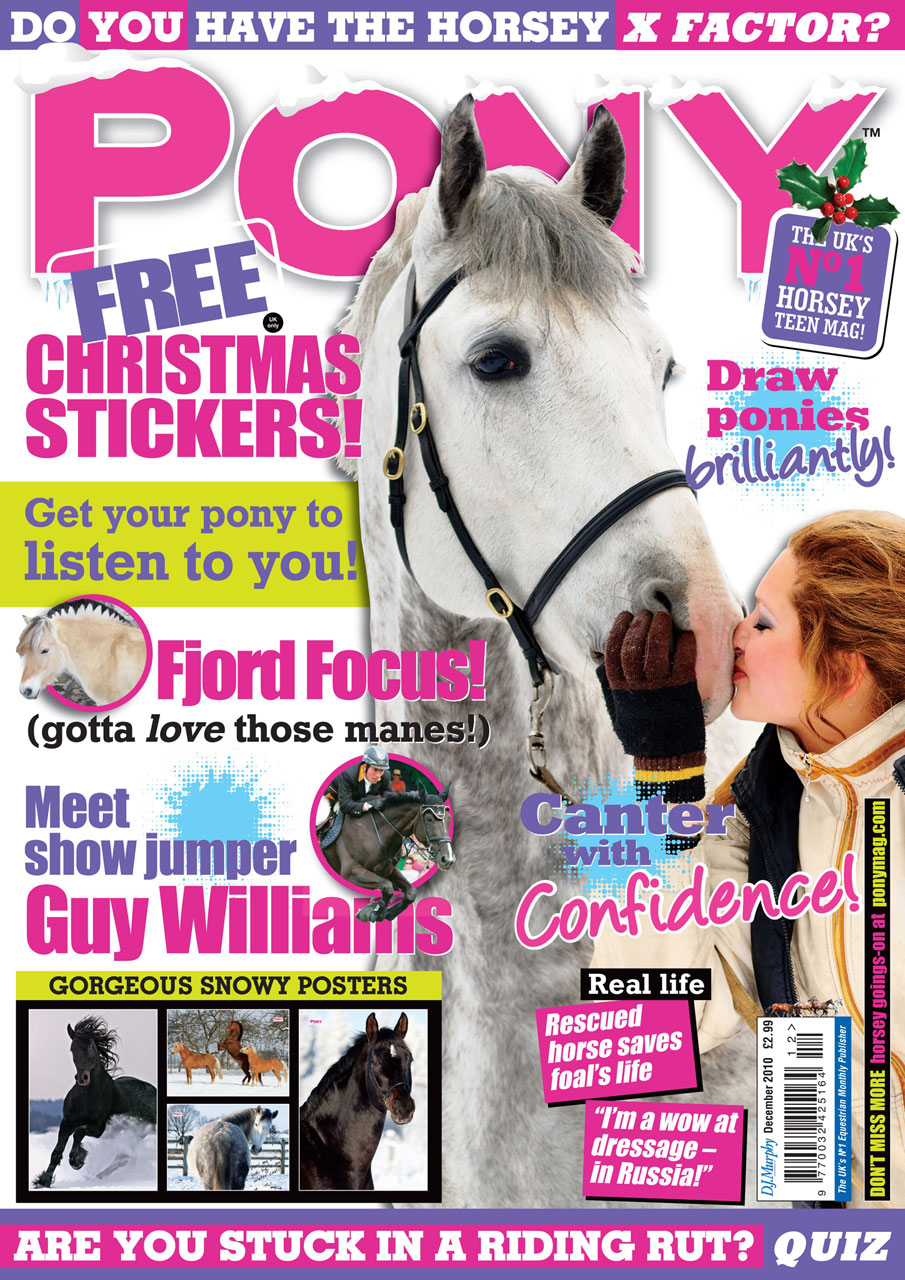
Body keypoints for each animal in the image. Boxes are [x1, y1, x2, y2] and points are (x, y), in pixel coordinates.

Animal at [33, 1016, 157, 1188]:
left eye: (91, 1046)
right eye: (72, 1048)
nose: (82, 1078)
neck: (86, 1096)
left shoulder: (98, 1127)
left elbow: (79, 1133)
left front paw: (76, 1160)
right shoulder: (67, 1122)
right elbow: (57, 1151)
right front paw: (43, 1180)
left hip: (138, 1132)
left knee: (124, 1156)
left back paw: (97, 1176)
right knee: (124, 1156)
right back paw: (98, 1176)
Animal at [322, 783, 453, 922]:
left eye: (449, 819)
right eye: (429, 819)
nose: (448, 859)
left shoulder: (389, 870)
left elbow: (410, 892)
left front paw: (387, 912)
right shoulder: (350, 872)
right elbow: (387, 887)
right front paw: (373, 912)